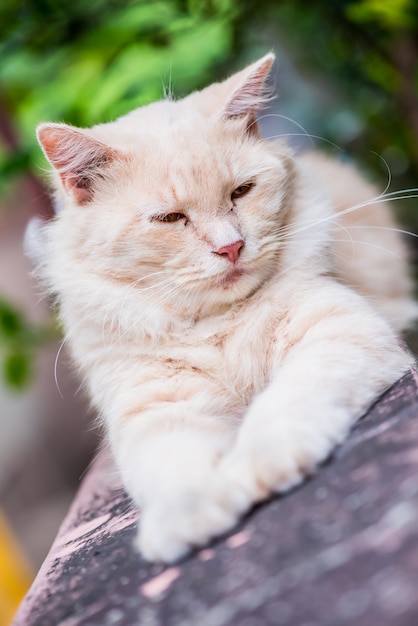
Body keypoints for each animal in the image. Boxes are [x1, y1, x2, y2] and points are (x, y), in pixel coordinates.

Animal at [27, 53, 416, 560]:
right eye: (170, 218)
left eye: (241, 192)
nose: (231, 247)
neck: (216, 325)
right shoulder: (156, 406)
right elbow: (173, 465)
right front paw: (193, 516)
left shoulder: (337, 330)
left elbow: (287, 400)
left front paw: (266, 462)